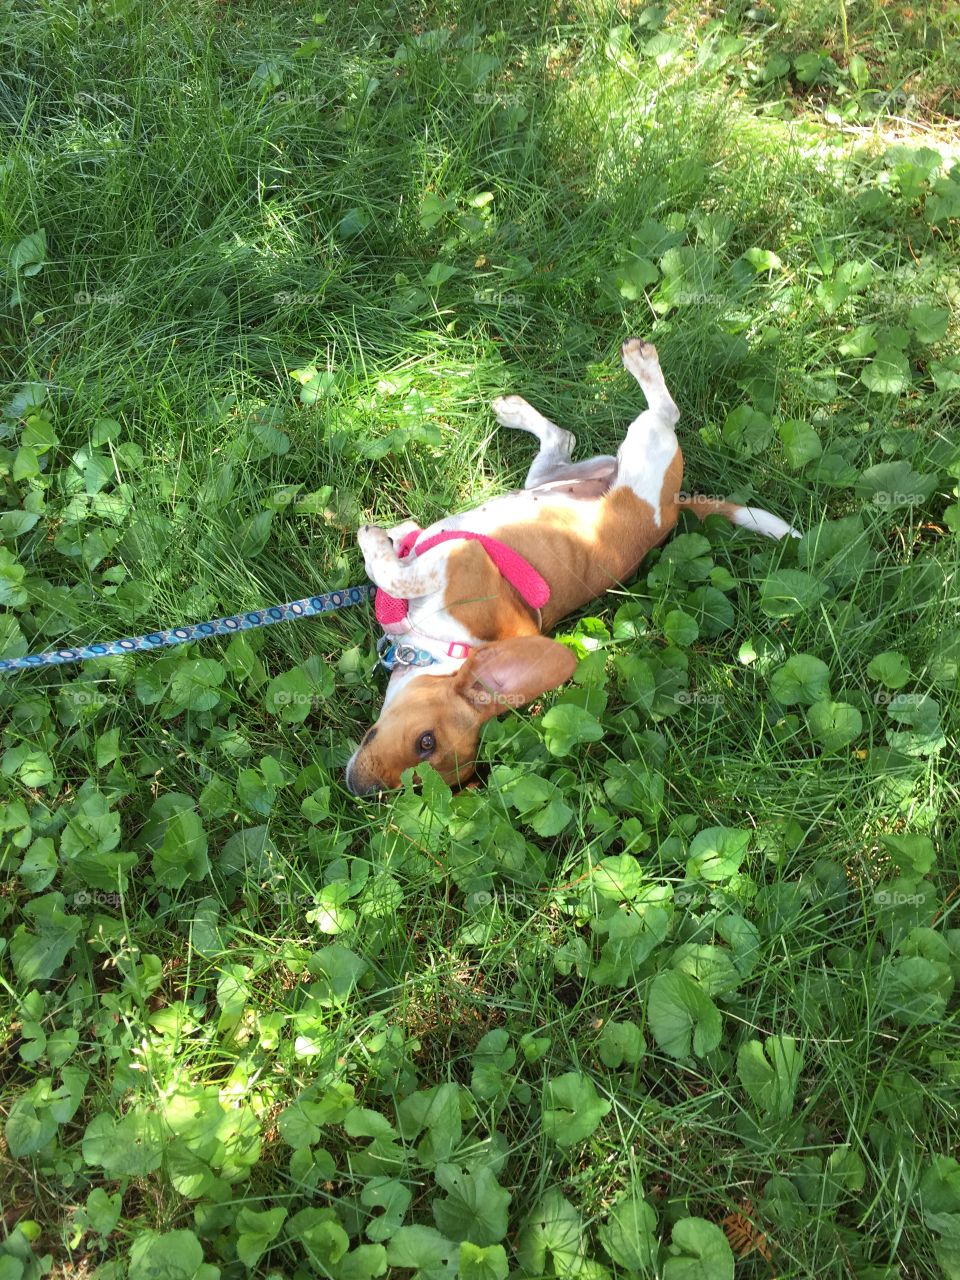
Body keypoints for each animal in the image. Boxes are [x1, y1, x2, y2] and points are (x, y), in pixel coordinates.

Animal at [350, 343, 798, 798]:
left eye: (426, 745)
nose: (361, 790)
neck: (443, 647)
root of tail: (674, 508)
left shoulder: (463, 557)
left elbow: (397, 574)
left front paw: (375, 546)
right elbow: (405, 552)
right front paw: (395, 537)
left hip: (644, 449)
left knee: (665, 413)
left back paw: (641, 363)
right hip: (555, 475)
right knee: (562, 438)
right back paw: (514, 410)